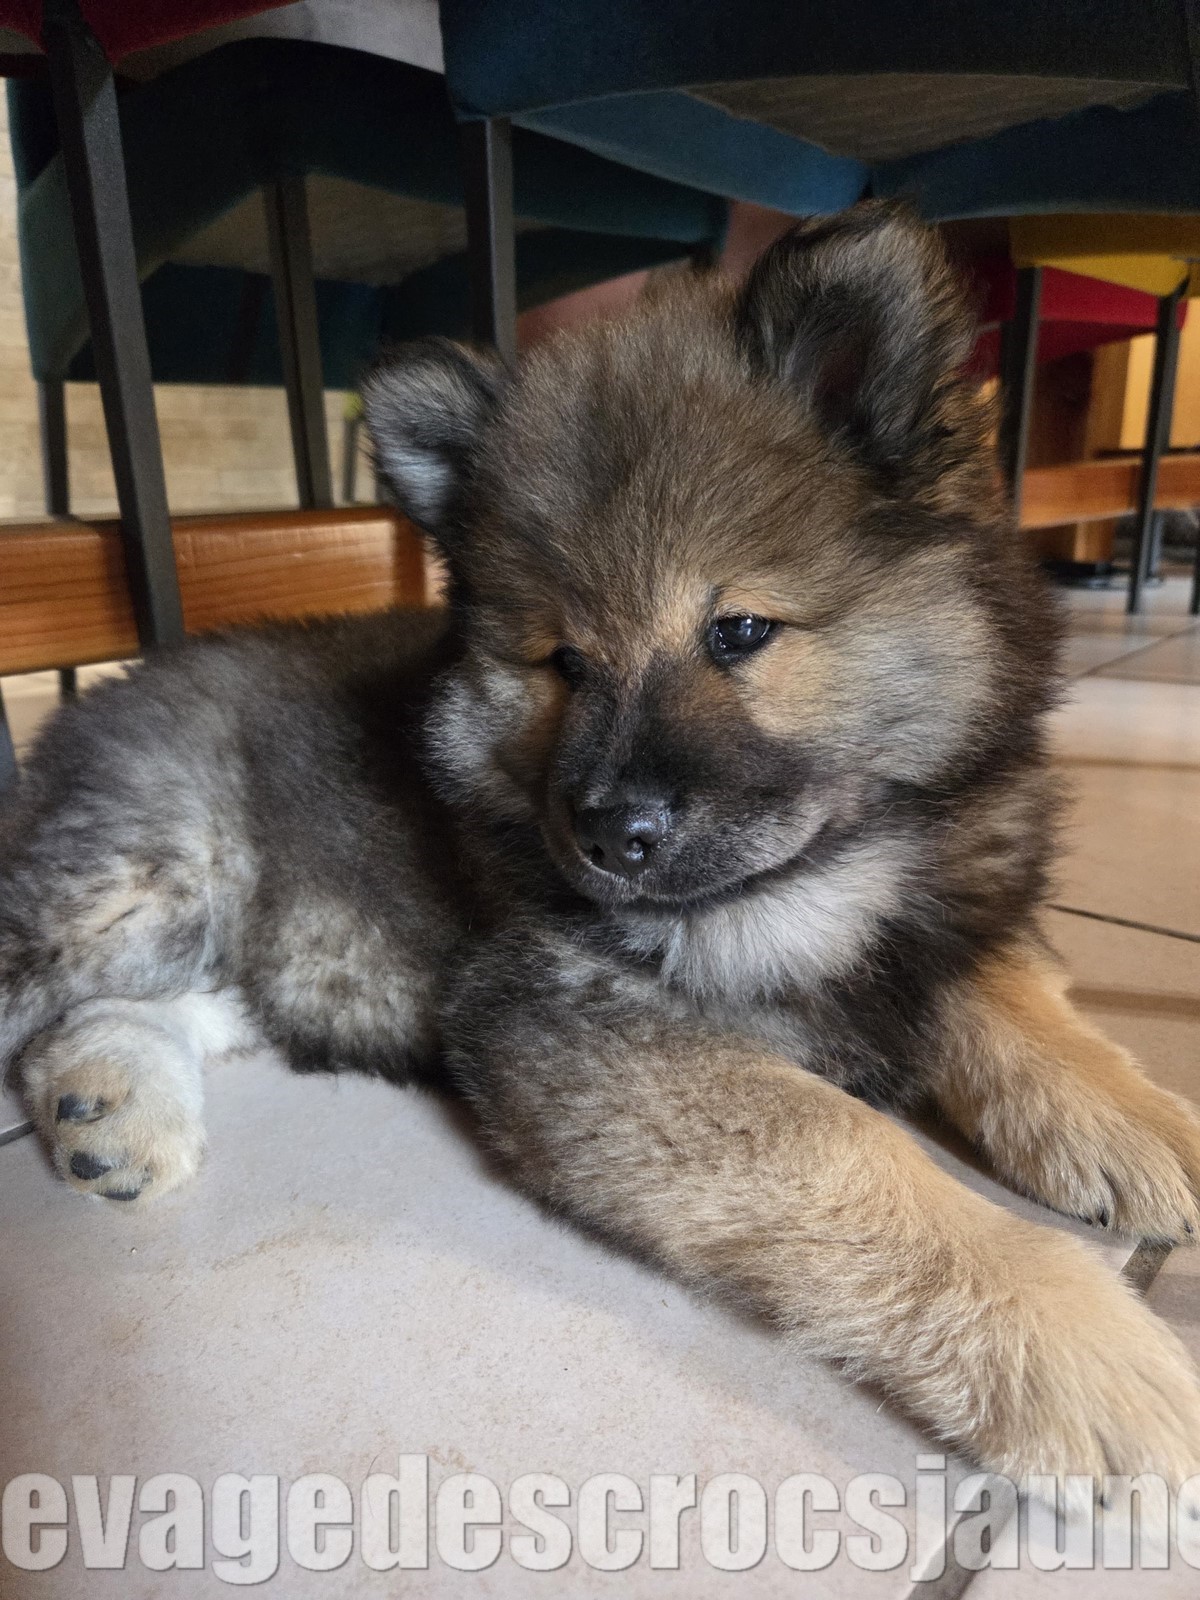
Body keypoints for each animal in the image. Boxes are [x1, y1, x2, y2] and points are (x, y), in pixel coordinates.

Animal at [3, 203, 1199, 1486]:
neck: (841, 857)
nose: (609, 834)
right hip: (138, 882)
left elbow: (1016, 1002)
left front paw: (1145, 1121)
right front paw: (1083, 1347)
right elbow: (848, 1148)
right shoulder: (576, 1018)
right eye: (564, 661)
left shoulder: (955, 904)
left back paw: (107, 1106)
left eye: (739, 630)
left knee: (157, 1005)